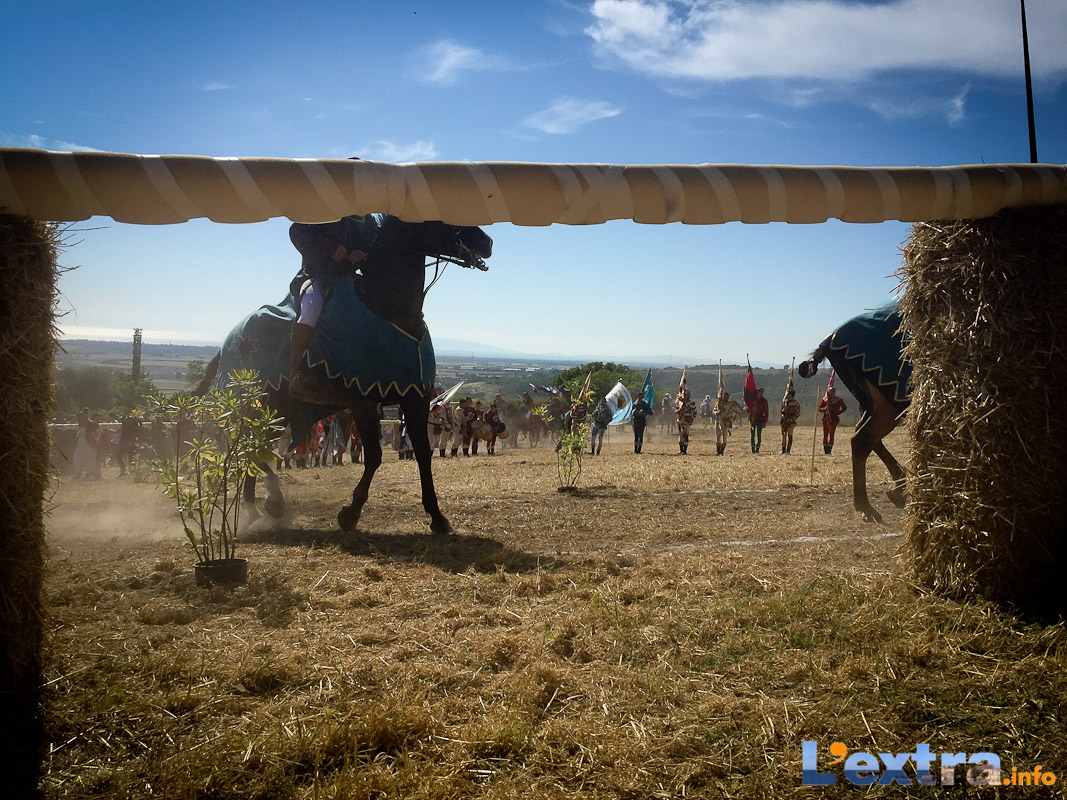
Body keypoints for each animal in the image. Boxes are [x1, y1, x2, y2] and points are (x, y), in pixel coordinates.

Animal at [198, 215, 493, 535]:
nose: (487, 242)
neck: (388, 307)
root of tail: (227, 342)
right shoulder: (363, 401)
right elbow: (374, 455)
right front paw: (351, 512)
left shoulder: (415, 399)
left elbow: (423, 454)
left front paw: (437, 516)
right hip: (257, 403)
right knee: (252, 447)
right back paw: (271, 503)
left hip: (277, 411)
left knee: (255, 447)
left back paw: (255, 508)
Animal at [799, 300, 910, 523]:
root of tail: (830, 340)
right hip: (889, 404)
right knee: (862, 440)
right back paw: (869, 504)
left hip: (874, 403)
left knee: (865, 437)